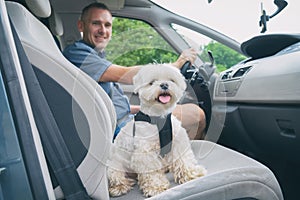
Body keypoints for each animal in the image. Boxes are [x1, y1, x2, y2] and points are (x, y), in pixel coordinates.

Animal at [108, 63, 206, 197]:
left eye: (171, 80)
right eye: (152, 82)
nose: (164, 84)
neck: (159, 118)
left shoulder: (177, 144)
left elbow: (183, 161)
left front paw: (191, 174)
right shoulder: (145, 153)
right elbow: (151, 173)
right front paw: (156, 187)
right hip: (114, 166)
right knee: (117, 177)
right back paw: (119, 187)